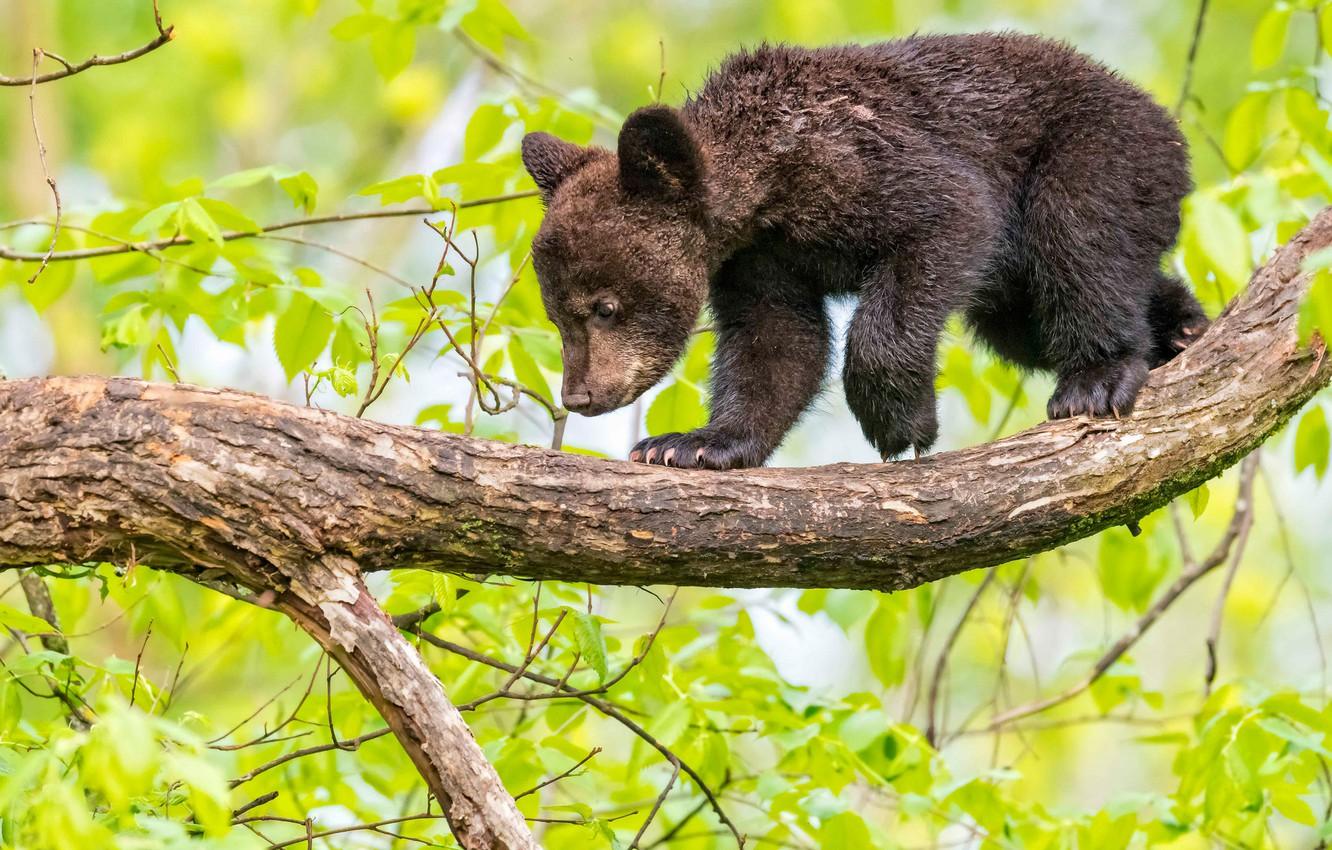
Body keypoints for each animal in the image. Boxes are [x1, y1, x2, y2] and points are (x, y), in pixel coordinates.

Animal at [520, 33, 1207, 470]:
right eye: (555, 314)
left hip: (1094, 149)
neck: (765, 188)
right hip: (1016, 286)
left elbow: (947, 220)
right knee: (1033, 316)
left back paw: (1097, 378)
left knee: (1078, 239)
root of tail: (1166, 125)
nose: (579, 396)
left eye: (604, 307)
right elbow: (776, 342)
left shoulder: (860, 164)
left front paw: (900, 423)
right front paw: (693, 443)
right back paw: (1182, 329)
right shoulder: (757, 259)